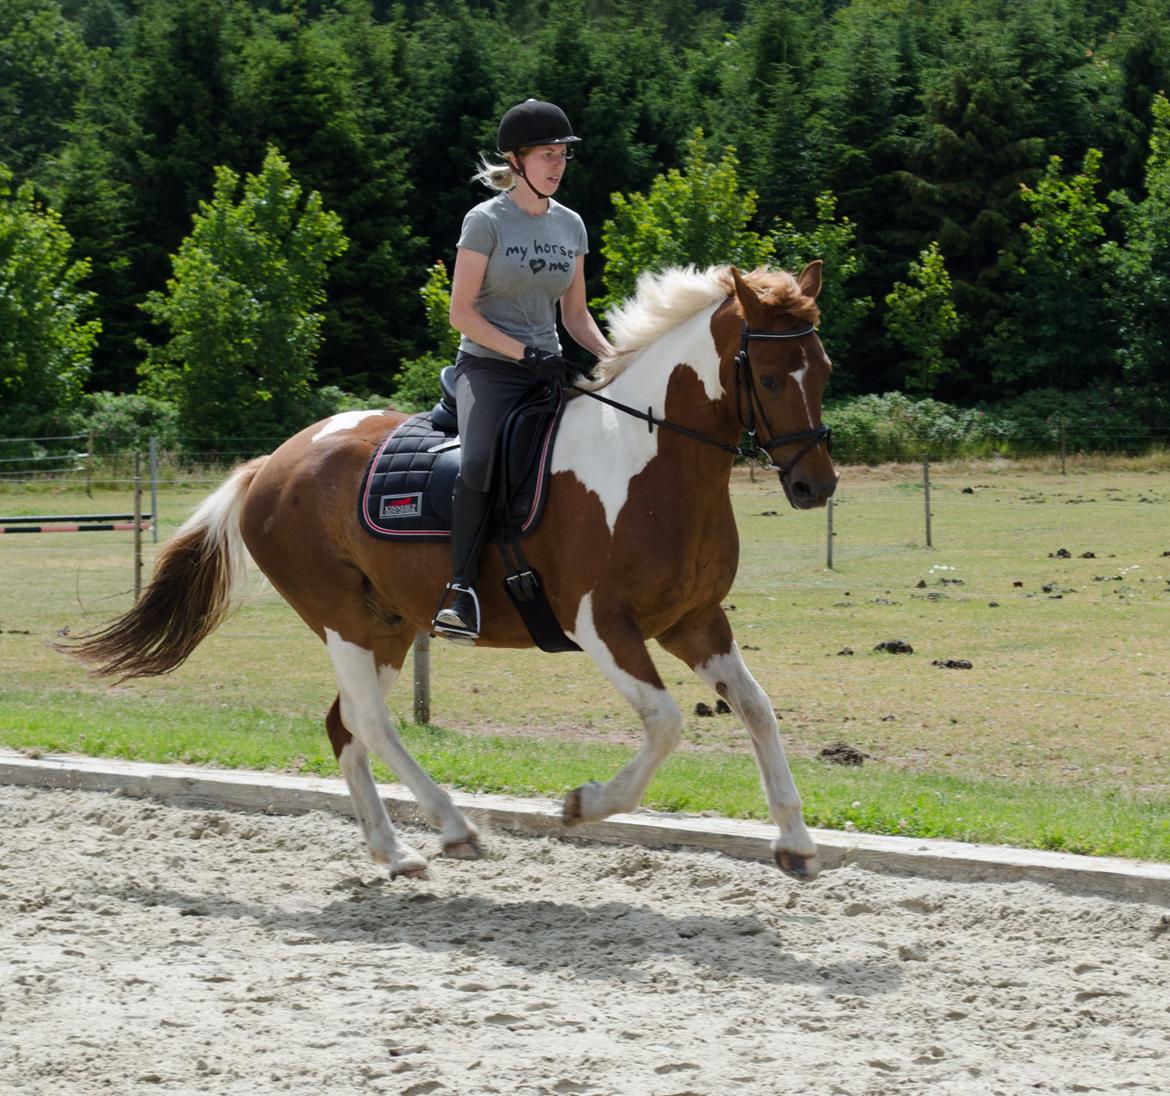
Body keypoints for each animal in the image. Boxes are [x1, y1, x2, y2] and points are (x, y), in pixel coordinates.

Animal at [64, 263, 837, 879]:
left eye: (824, 371)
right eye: (770, 376)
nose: (815, 486)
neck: (648, 462)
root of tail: (271, 464)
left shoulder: (693, 621)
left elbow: (757, 709)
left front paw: (795, 842)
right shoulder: (602, 625)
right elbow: (667, 721)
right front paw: (584, 804)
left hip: (388, 625)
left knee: (345, 726)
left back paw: (394, 852)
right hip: (344, 622)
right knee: (370, 723)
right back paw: (454, 826)